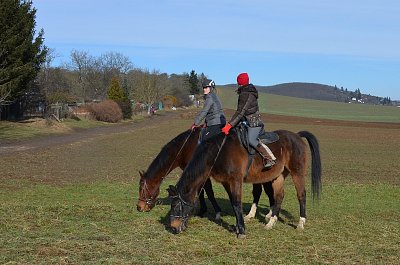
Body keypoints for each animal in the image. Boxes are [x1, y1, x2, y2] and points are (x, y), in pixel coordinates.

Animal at [168, 128, 322, 237]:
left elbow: (237, 203)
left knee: (301, 195)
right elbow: (233, 201)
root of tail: (296, 135)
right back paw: (271, 222)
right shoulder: (226, 181)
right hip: (278, 176)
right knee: (279, 196)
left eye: (177, 205)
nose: (174, 227)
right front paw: (238, 225)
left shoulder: (236, 180)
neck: (218, 152)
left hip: (297, 173)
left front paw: (241, 230)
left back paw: (301, 223)